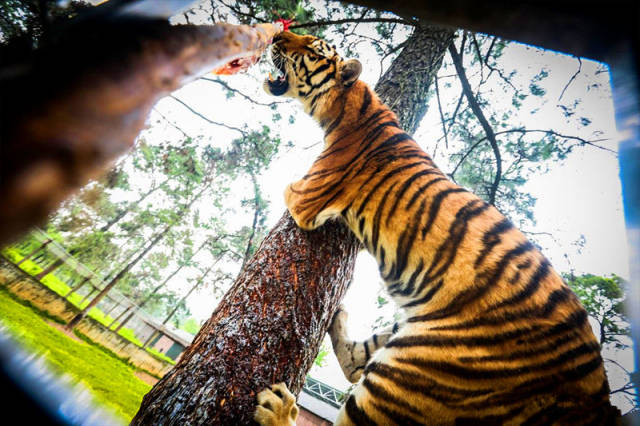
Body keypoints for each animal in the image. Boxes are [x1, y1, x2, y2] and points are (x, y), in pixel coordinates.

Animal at [251, 31, 620, 424]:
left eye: (311, 47)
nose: (278, 33)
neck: (351, 104)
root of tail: (594, 397)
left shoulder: (304, 198)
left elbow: (288, 187)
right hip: (408, 330)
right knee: (354, 363)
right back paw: (338, 318)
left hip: (410, 369)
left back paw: (277, 407)